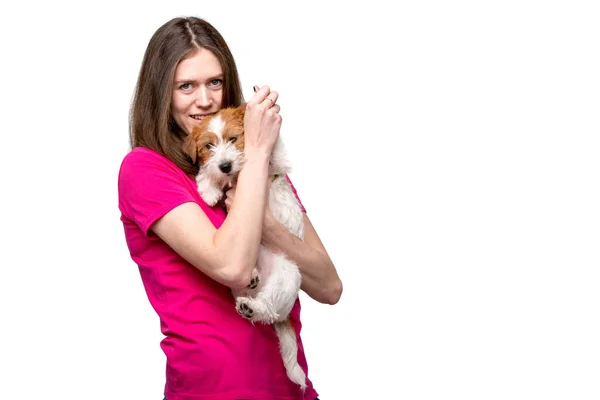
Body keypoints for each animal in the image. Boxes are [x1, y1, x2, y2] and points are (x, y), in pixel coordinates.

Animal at [182, 104, 304, 390]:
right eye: (208, 146)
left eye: (234, 138)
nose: (225, 166)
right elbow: (208, 173)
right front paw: (208, 188)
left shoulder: (275, 160)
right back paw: (252, 279)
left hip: (287, 275)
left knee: (268, 309)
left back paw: (254, 307)